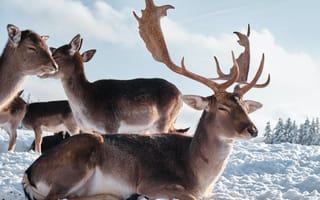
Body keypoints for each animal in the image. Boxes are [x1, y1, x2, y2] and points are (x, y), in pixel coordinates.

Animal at [42, 34, 188, 136]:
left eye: (56, 56)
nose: (42, 71)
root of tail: (180, 94)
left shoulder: (111, 125)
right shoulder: (85, 129)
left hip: (164, 122)